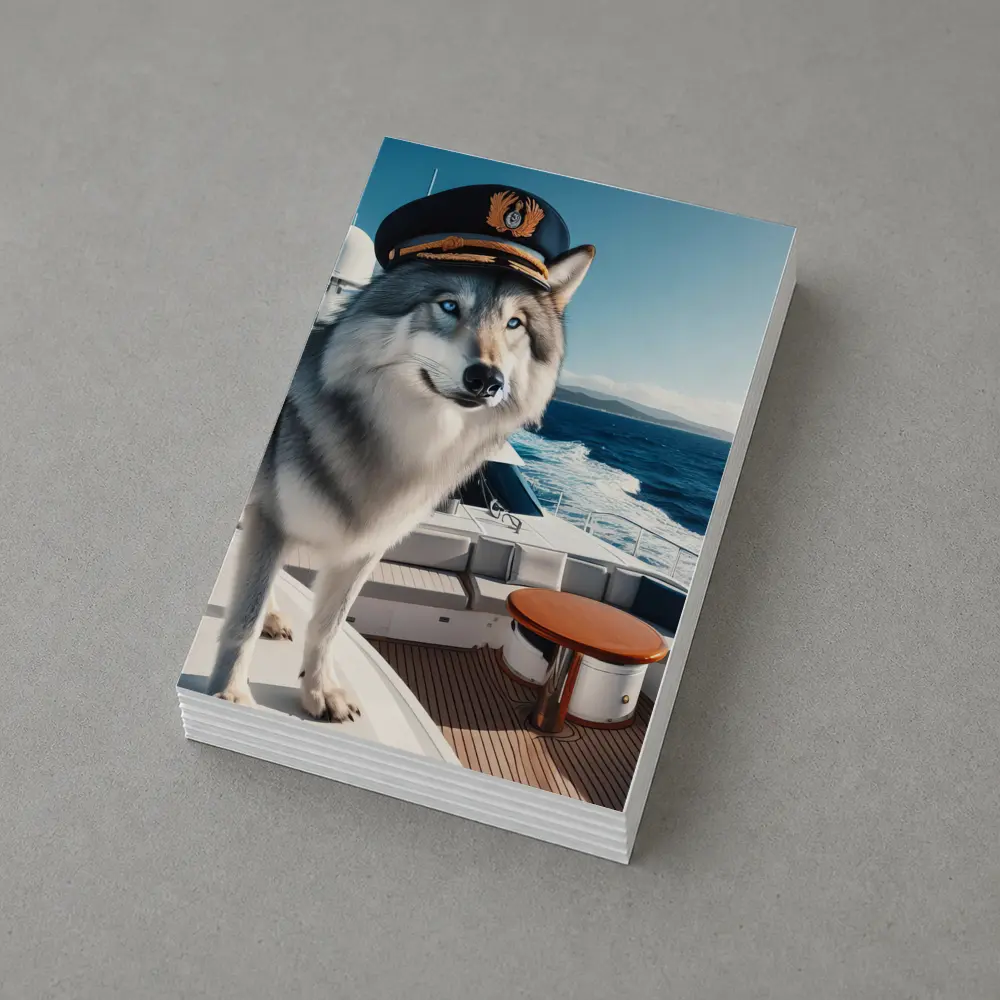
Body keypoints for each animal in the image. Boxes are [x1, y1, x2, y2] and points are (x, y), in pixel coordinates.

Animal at [206, 245, 595, 721]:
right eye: (449, 305)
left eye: (514, 324)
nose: (487, 380)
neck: (403, 445)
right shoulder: (271, 519)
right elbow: (244, 616)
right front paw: (230, 697)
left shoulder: (364, 549)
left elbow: (328, 627)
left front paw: (321, 691)